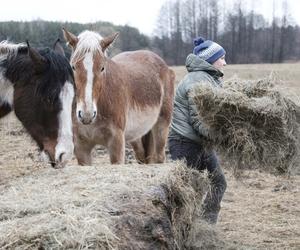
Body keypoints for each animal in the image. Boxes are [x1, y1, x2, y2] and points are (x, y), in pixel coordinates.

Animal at [63, 29, 176, 165]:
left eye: (102, 68)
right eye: (73, 66)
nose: (86, 115)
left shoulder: (116, 143)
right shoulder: (81, 148)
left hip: (161, 126)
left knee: (159, 156)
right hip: (137, 136)